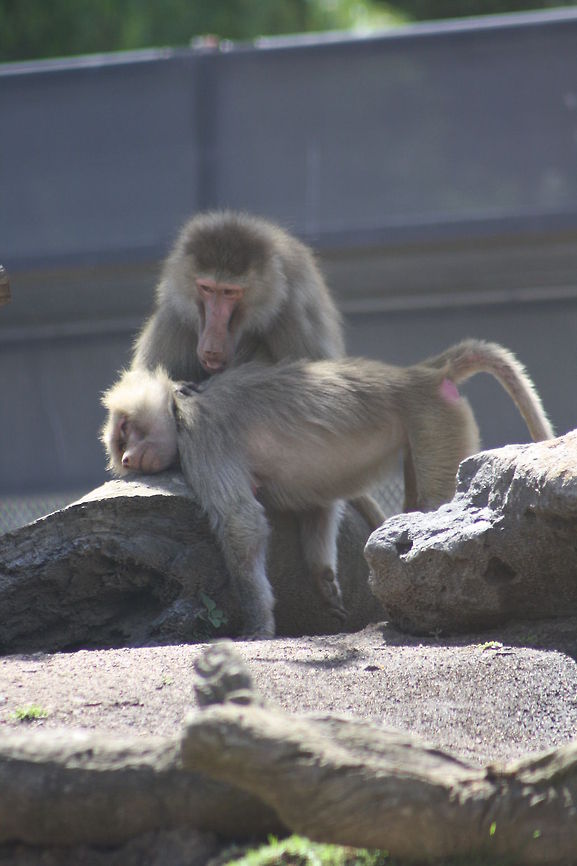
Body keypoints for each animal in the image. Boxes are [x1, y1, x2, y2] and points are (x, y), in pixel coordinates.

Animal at [101, 339, 553, 639]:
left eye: (126, 431)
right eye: (121, 443)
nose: (128, 458)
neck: (181, 405)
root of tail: (419, 375)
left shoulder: (202, 437)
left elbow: (241, 523)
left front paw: (258, 624)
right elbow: (314, 502)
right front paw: (323, 577)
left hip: (434, 418)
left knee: (428, 503)